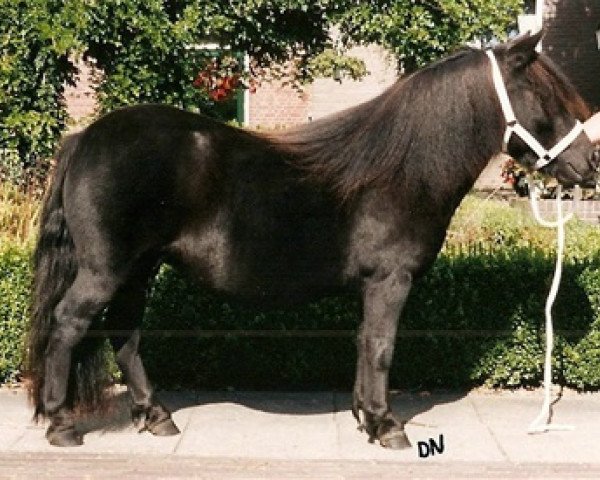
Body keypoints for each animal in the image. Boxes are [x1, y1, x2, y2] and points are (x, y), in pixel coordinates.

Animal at [27, 31, 596, 448]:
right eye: (545, 97)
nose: (589, 165)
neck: (404, 170)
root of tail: (85, 137)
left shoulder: (372, 285)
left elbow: (364, 342)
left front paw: (366, 417)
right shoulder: (391, 280)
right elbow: (383, 346)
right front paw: (387, 426)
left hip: (138, 269)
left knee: (125, 334)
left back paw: (156, 415)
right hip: (106, 270)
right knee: (70, 323)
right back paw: (61, 425)